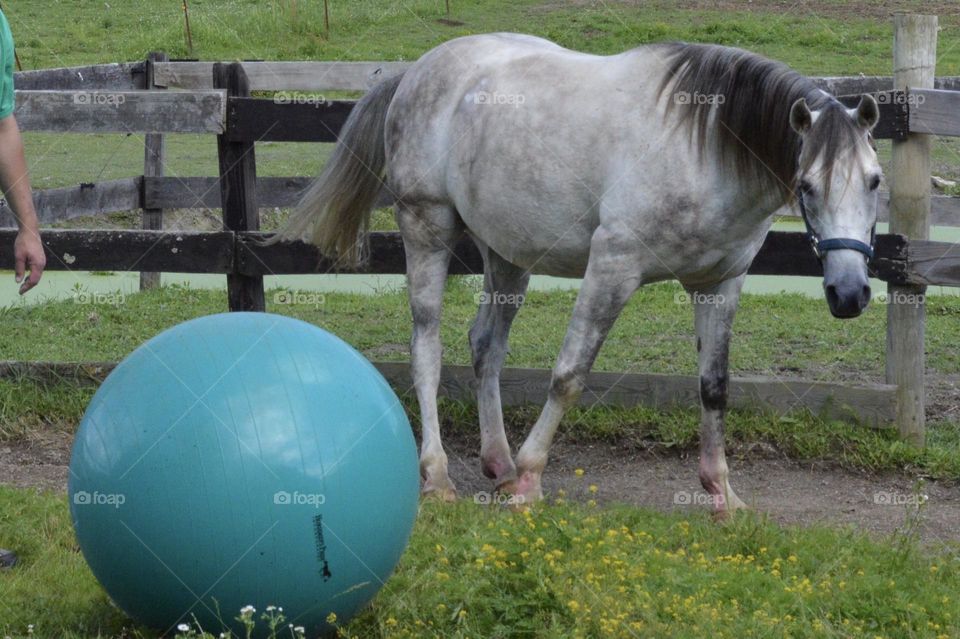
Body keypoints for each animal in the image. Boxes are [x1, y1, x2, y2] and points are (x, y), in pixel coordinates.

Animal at [274, 33, 880, 516]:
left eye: (874, 181)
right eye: (807, 186)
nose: (849, 293)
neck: (702, 147)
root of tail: (417, 70)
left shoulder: (718, 286)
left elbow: (714, 388)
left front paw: (722, 495)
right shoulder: (613, 267)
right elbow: (569, 375)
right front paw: (531, 480)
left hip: (507, 255)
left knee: (485, 346)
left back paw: (498, 464)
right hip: (427, 228)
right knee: (427, 348)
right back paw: (440, 476)